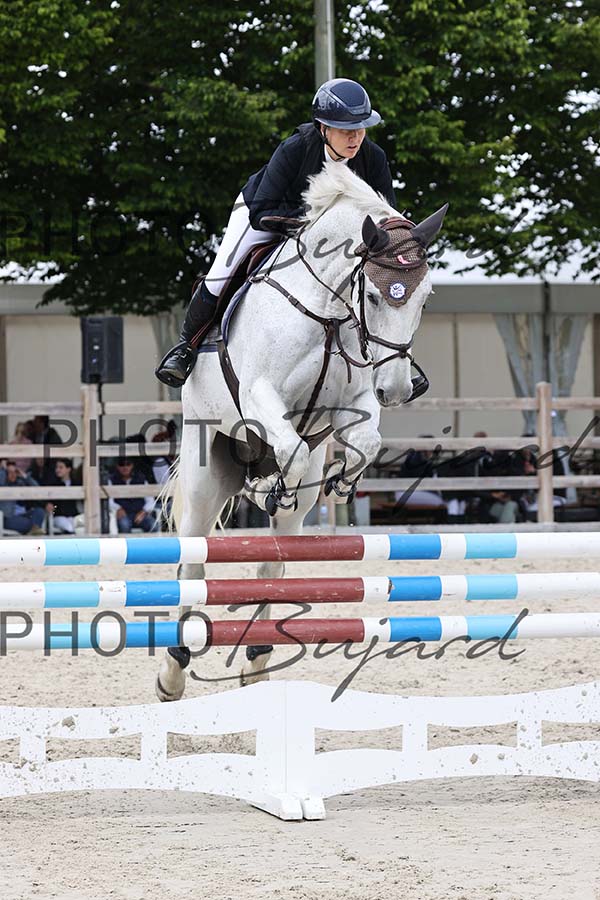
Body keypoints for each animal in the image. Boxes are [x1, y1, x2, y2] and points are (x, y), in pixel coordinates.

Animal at [156, 161, 447, 700]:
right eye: (373, 295)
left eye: (425, 298)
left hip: (297, 504)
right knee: (194, 560)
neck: (327, 309)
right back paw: (173, 669)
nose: (397, 389)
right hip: (207, 473)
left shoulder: (354, 401)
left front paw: (346, 480)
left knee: (273, 562)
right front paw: (279, 483)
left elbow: (365, 440)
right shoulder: (259, 396)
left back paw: (256, 661)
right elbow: (288, 443)